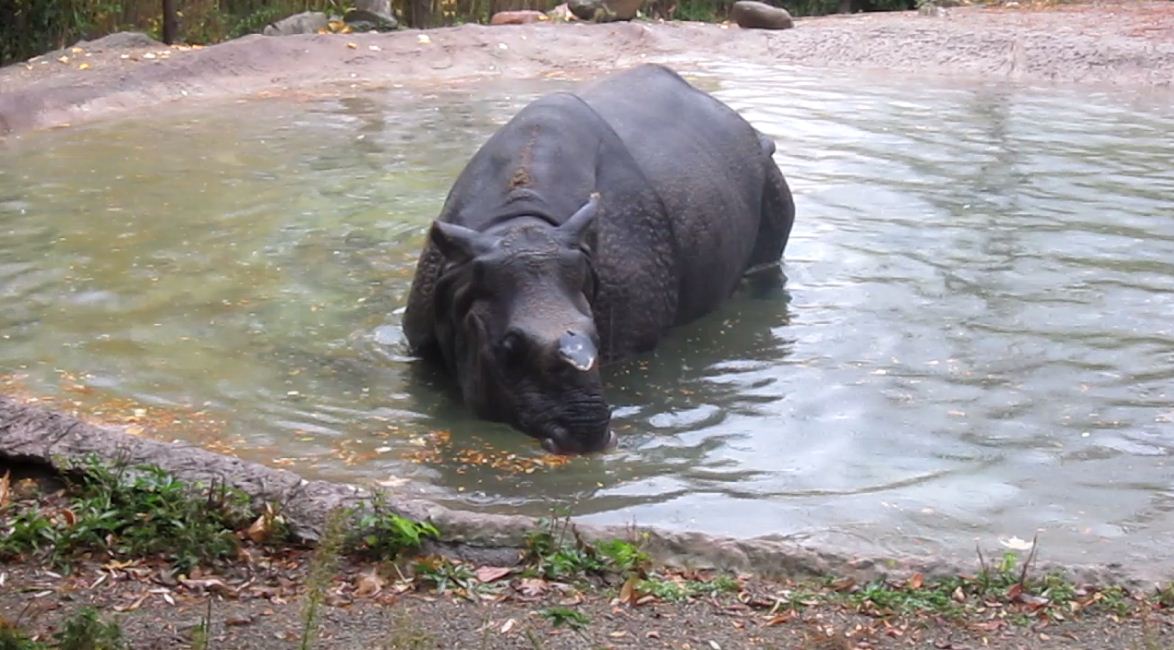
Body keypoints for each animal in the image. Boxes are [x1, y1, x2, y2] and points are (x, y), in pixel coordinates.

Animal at [403, 64, 795, 454]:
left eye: (597, 334)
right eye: (509, 346)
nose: (587, 438)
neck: (516, 224)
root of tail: (742, 123)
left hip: (766, 169)